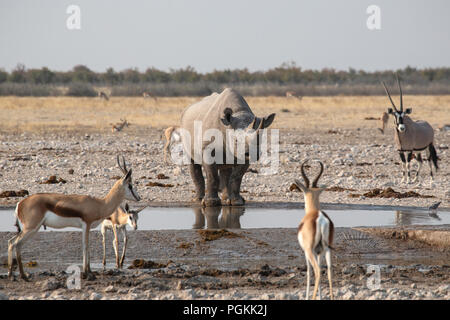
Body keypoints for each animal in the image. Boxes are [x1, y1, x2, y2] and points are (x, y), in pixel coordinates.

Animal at [7, 156, 140, 280]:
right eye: (130, 185)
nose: (139, 197)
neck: (100, 204)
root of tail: (20, 203)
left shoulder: (87, 227)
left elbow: (88, 246)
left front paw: (90, 271)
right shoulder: (86, 224)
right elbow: (85, 246)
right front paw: (86, 273)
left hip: (32, 229)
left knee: (13, 242)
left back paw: (11, 274)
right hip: (31, 228)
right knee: (15, 243)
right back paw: (22, 276)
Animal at [292, 160, 334, 300]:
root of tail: (320, 218)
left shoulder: (306, 251)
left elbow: (309, 273)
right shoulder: (319, 251)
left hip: (310, 251)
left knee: (317, 271)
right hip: (327, 249)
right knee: (329, 271)